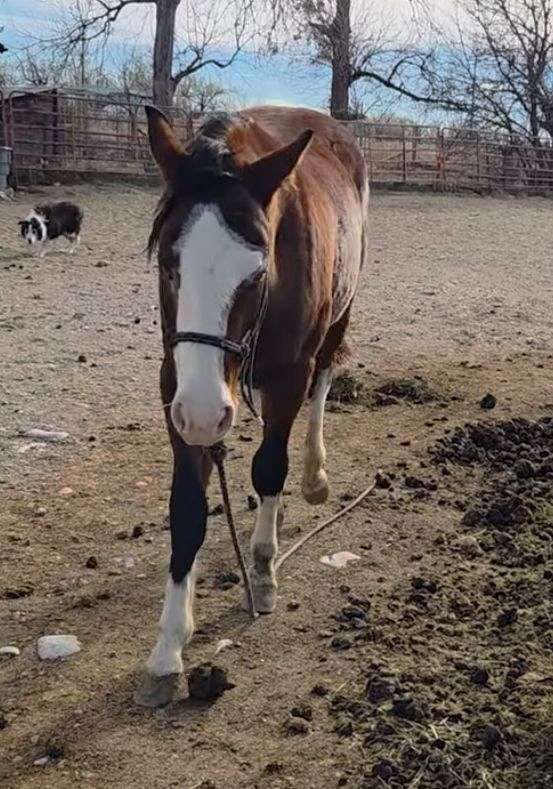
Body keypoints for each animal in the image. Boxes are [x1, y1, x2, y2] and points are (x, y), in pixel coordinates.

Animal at [136, 104, 369, 707]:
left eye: (257, 271)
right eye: (168, 263)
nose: (203, 413)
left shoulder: (289, 374)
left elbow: (269, 465)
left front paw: (262, 571)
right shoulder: (176, 386)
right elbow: (188, 512)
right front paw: (169, 645)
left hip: (338, 321)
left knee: (317, 397)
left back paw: (310, 478)